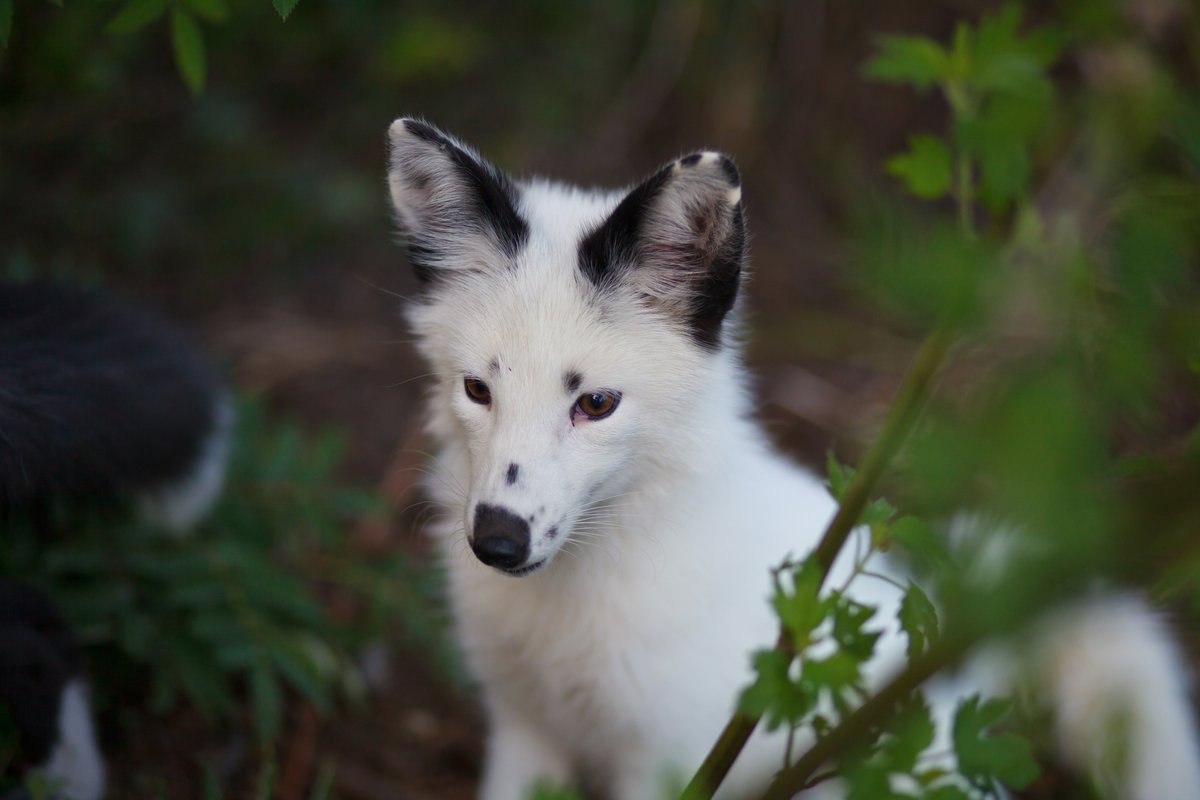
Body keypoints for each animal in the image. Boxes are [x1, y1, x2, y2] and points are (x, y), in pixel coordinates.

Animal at [384, 118, 1200, 800]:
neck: (574, 606)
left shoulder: (667, 759)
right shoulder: (523, 726)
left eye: (597, 404)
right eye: (478, 389)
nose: (497, 541)